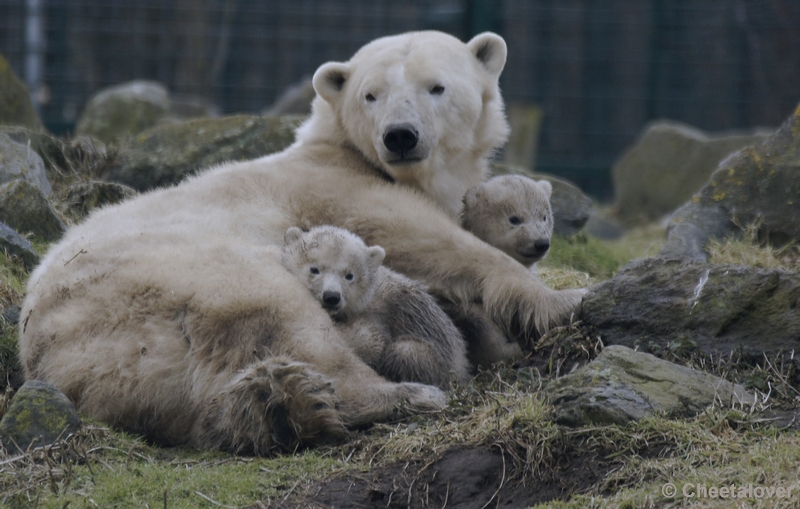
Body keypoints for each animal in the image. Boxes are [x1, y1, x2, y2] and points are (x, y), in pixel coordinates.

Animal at [18, 30, 580, 452]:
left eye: (436, 87)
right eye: (371, 94)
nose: (400, 135)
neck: (345, 150)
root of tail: (47, 347)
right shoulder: (339, 191)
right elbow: (428, 241)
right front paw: (562, 299)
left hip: (129, 366)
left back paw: (276, 412)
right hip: (177, 274)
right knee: (284, 318)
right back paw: (398, 394)